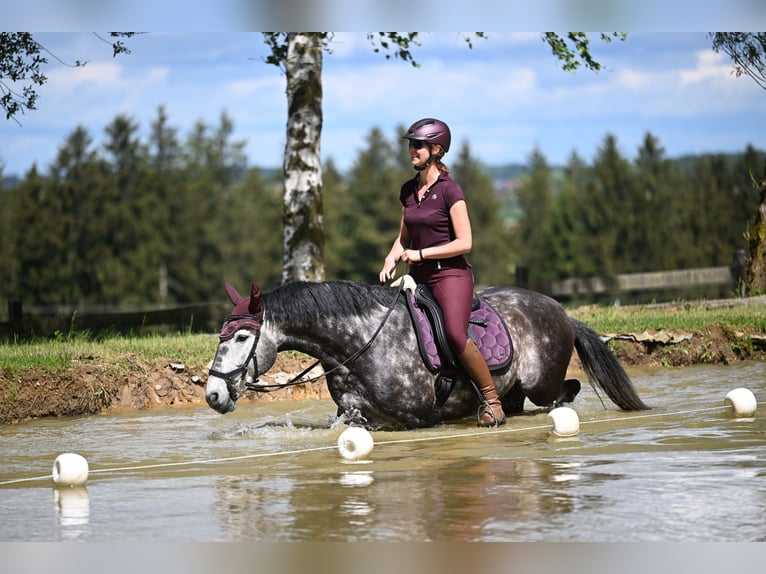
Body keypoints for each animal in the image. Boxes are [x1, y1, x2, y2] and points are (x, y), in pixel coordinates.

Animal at [204, 280, 648, 432]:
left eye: (241, 337)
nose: (213, 395)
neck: (358, 343)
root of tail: (560, 310)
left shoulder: (413, 420)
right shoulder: (353, 414)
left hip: (542, 382)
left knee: (565, 390)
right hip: (515, 389)